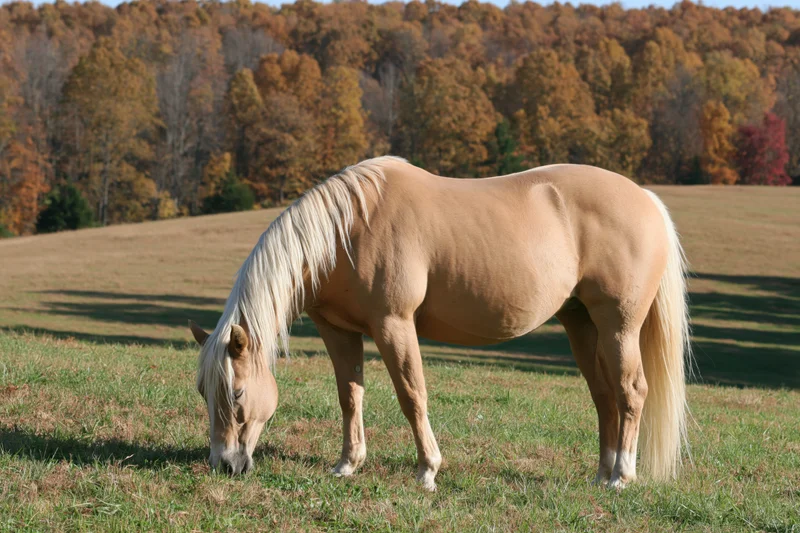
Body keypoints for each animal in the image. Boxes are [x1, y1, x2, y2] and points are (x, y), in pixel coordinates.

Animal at [189, 156, 691, 491]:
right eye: (202, 392)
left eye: (236, 393)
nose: (224, 464)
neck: (348, 230)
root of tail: (645, 198)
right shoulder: (340, 331)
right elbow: (350, 397)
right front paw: (348, 464)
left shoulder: (394, 325)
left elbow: (412, 396)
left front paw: (427, 470)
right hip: (581, 325)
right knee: (604, 396)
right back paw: (602, 474)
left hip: (618, 327)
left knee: (631, 392)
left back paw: (622, 475)